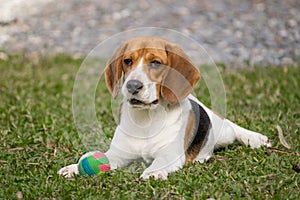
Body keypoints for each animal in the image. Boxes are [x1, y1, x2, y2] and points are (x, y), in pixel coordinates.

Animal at [58, 36, 270, 180]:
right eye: (127, 61)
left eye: (155, 63)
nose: (132, 86)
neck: (147, 119)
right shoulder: (119, 154)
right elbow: (103, 158)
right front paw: (74, 167)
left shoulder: (170, 153)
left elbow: (160, 162)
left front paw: (153, 172)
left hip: (223, 131)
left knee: (232, 127)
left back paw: (255, 138)